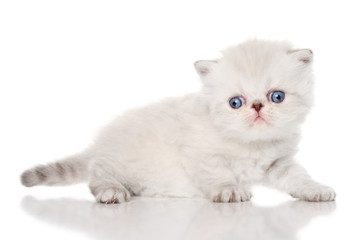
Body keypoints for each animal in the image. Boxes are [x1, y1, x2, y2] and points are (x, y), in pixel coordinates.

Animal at [21, 40, 336, 203]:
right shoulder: (201, 155)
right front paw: (230, 191)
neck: (250, 144)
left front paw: (316, 190)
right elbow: (218, 175)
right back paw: (113, 192)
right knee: (97, 175)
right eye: (236, 103)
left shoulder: (279, 163)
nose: (257, 107)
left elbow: (299, 177)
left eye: (277, 97)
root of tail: (99, 144)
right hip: (114, 164)